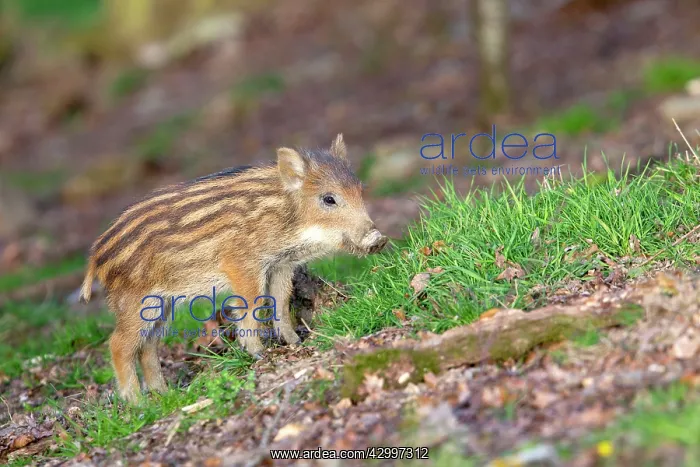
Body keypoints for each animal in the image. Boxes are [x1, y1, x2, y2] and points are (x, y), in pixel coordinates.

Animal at [79, 134, 388, 403]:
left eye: (360, 191)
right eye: (329, 199)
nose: (378, 238)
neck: (284, 216)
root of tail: (95, 256)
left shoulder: (281, 265)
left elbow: (281, 301)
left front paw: (294, 344)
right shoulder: (242, 265)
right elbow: (252, 305)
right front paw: (260, 355)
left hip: (162, 304)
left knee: (148, 345)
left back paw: (165, 395)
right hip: (135, 301)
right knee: (119, 344)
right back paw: (138, 404)